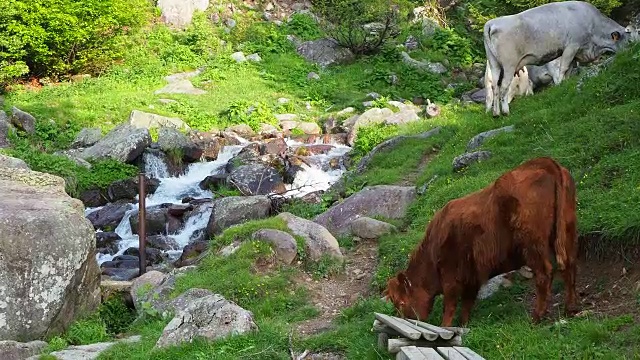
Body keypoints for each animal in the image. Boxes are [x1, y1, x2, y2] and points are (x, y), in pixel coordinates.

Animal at [384, 157, 580, 326]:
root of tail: (545, 163)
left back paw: (536, 317)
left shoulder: (450, 276)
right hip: (567, 232)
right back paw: (570, 308)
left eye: (401, 302)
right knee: (569, 265)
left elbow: (450, 305)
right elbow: (467, 303)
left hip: (533, 244)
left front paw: (445, 326)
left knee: (544, 274)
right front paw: (463, 324)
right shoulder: (471, 277)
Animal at [484, 1, 632, 116]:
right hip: (509, 65)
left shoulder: (575, 53)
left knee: (495, 87)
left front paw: (565, 85)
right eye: (629, 41)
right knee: (504, 86)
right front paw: (560, 85)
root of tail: (491, 23)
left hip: (494, 64)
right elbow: (563, 69)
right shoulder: (571, 47)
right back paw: (505, 111)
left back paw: (496, 113)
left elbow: (569, 70)